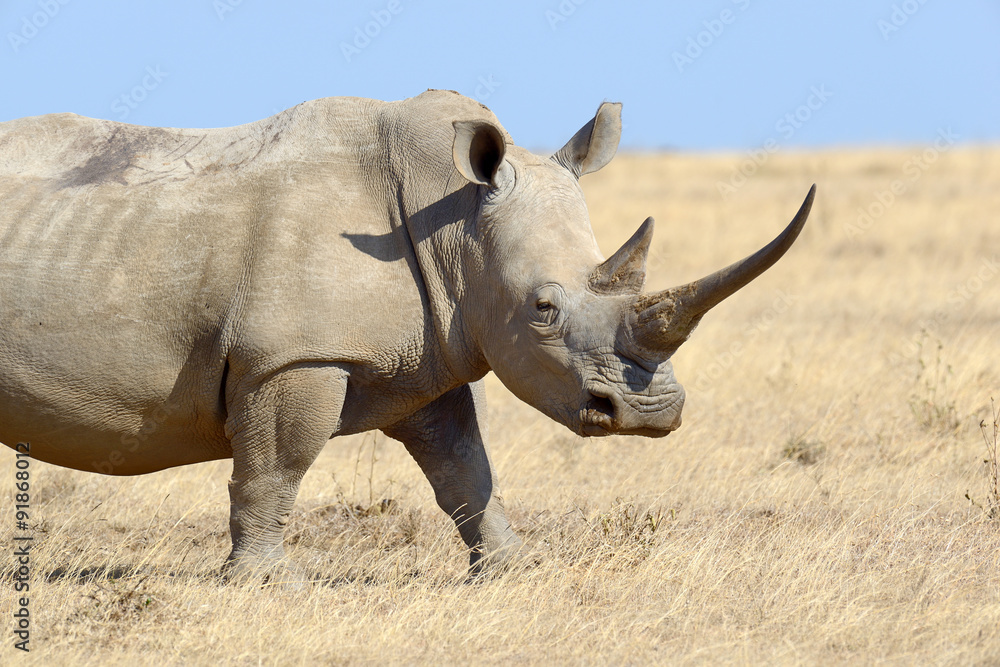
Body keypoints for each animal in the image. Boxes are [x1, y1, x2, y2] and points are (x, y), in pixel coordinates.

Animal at [0, 90, 814, 582]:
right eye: (543, 309)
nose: (650, 416)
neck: (452, 219)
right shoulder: (291, 357)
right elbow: (275, 466)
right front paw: (267, 583)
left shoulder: (433, 353)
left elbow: (466, 470)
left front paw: (514, 569)